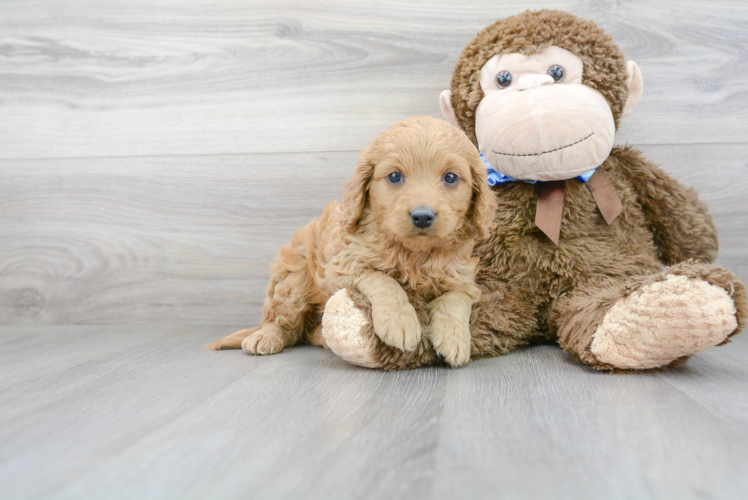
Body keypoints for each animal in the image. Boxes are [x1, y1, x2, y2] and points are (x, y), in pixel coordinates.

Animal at [206, 117, 496, 368]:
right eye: (394, 177)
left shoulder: (463, 279)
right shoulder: (342, 266)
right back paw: (266, 336)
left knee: (306, 332)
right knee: (285, 325)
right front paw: (400, 323)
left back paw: (322, 337)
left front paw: (454, 339)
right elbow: (383, 280)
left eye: (450, 177)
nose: (422, 216)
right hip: (293, 282)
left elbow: (455, 300)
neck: (414, 255)